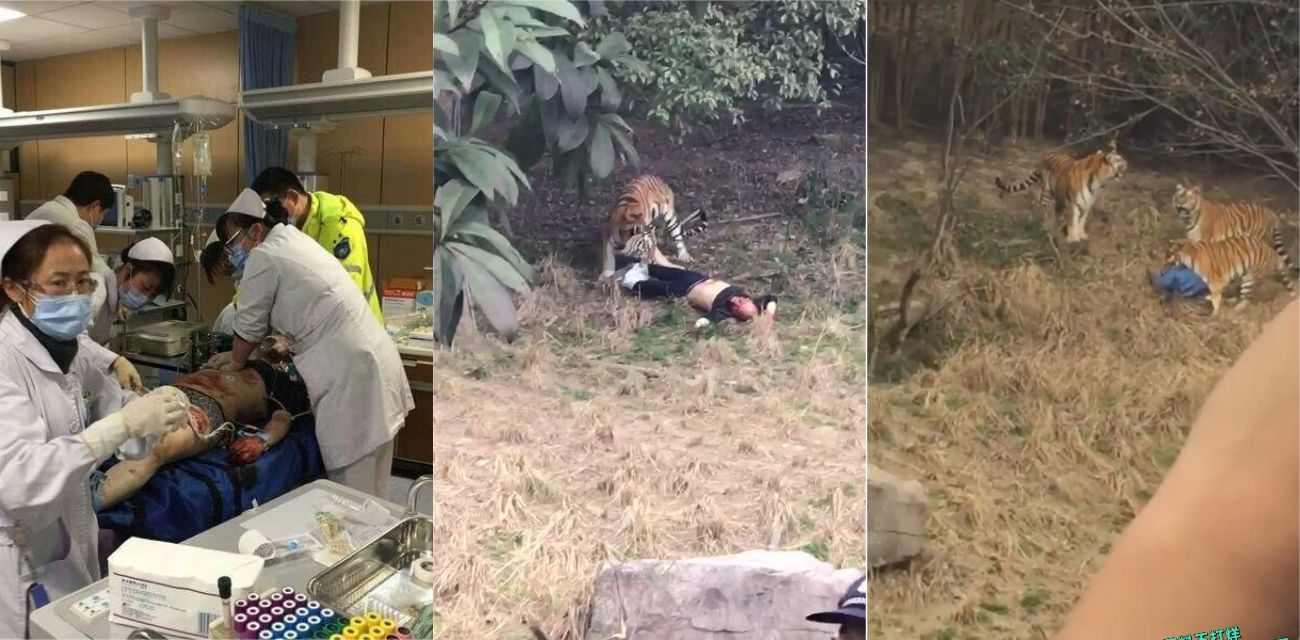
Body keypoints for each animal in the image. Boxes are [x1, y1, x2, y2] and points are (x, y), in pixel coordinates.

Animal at [995, 140, 1128, 243]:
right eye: (1119, 159)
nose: (1127, 162)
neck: (1097, 181)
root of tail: (1045, 157)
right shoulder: (1073, 203)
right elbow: (1073, 220)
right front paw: (1073, 238)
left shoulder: (1087, 204)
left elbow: (1082, 220)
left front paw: (1082, 235)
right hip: (1047, 193)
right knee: (1044, 210)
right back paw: (1045, 226)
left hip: (1058, 197)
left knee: (1055, 211)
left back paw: (1057, 228)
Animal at [1164, 235, 1296, 314]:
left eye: (1169, 255)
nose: (1162, 270)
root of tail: (1273, 253)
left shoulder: (1216, 282)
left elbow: (1216, 298)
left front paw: (1214, 313)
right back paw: (1231, 301)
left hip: (1249, 278)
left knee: (1246, 300)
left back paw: (1236, 309)